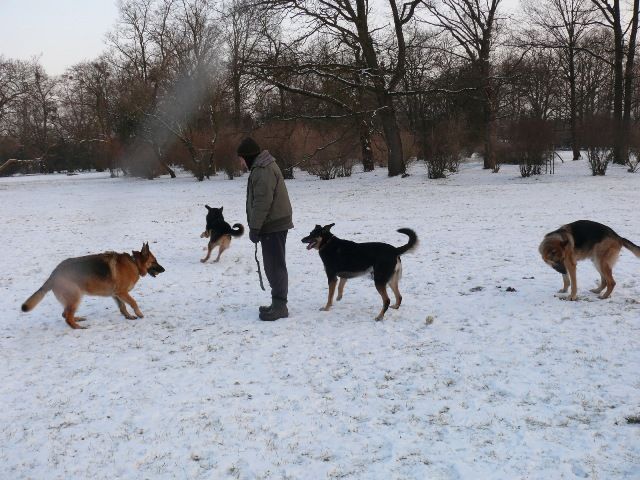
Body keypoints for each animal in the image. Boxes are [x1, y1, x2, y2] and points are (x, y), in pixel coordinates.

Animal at [21, 242, 165, 329]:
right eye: (154, 261)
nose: (164, 270)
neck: (134, 263)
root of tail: (54, 273)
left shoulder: (116, 294)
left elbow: (122, 306)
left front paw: (128, 316)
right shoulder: (122, 293)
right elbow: (133, 302)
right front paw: (139, 314)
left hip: (72, 299)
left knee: (65, 314)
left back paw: (78, 319)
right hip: (76, 297)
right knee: (67, 317)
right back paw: (78, 327)